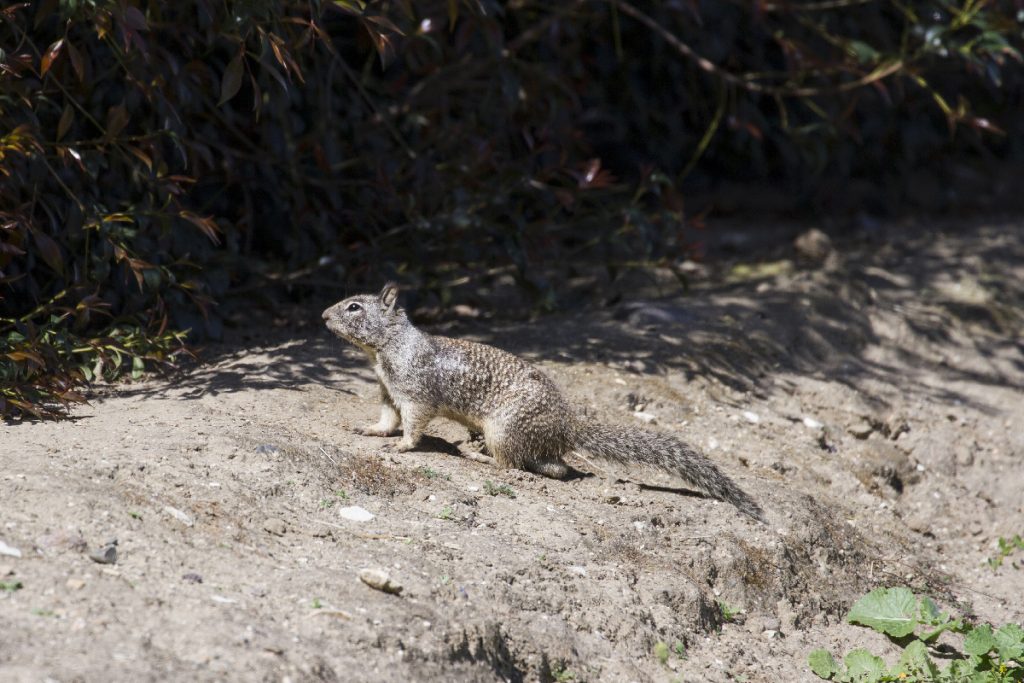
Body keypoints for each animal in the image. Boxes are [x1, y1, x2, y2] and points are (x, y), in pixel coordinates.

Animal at [323, 280, 765, 520]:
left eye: (354, 306)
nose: (324, 316)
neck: (387, 349)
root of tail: (568, 427)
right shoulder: (387, 392)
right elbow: (386, 418)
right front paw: (370, 430)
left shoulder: (416, 393)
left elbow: (414, 423)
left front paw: (402, 447)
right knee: (554, 467)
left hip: (504, 428)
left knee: (513, 464)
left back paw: (476, 455)